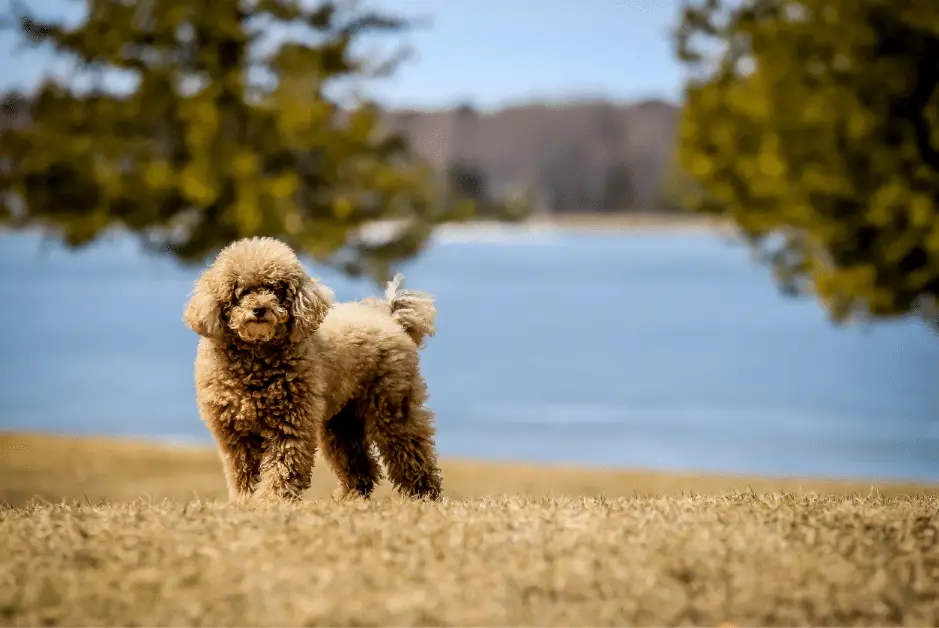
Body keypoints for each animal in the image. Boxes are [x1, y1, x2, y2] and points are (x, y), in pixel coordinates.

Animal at [188, 238, 448, 502]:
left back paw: (424, 496)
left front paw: (271, 500)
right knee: (359, 462)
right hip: (343, 419)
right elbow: (243, 472)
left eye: (276, 290)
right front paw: (245, 500)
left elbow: (283, 466)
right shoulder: (236, 433)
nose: (260, 309)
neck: (256, 357)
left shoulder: (291, 423)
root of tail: (392, 320)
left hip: (391, 406)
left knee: (411, 450)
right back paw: (350, 498)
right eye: (242, 292)